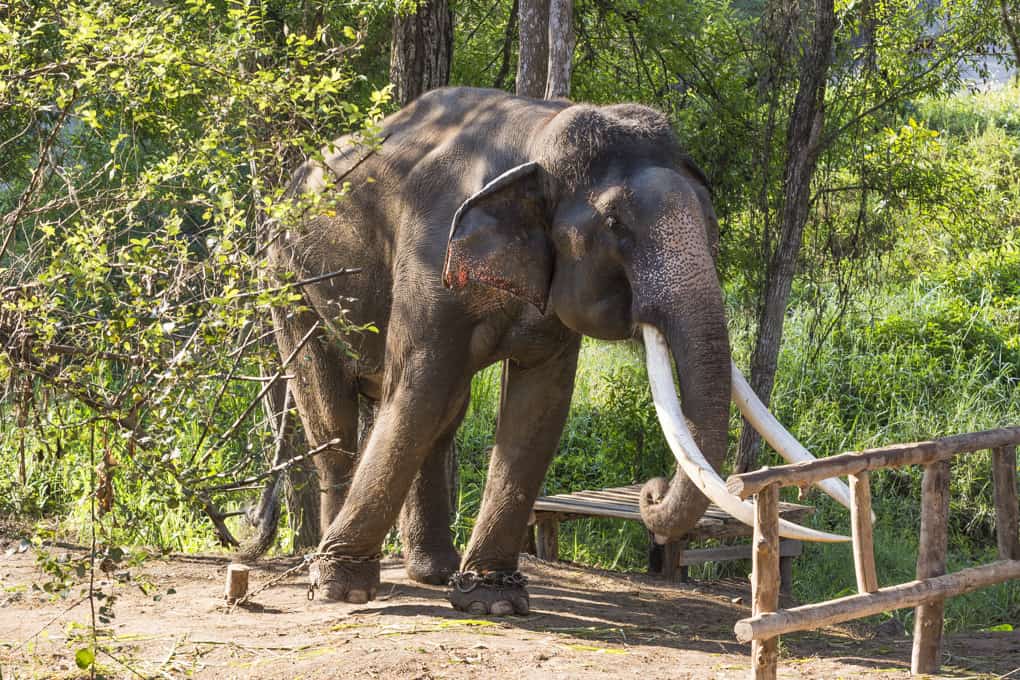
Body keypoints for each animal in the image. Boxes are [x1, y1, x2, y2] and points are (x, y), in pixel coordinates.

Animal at [267, 85, 848, 615]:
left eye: (711, 224)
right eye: (615, 225)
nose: (652, 490)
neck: (538, 136)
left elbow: (540, 403)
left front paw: (493, 601)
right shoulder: (428, 252)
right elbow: (417, 387)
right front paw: (344, 590)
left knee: (445, 414)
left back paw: (431, 571)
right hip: (287, 280)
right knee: (335, 418)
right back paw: (324, 567)